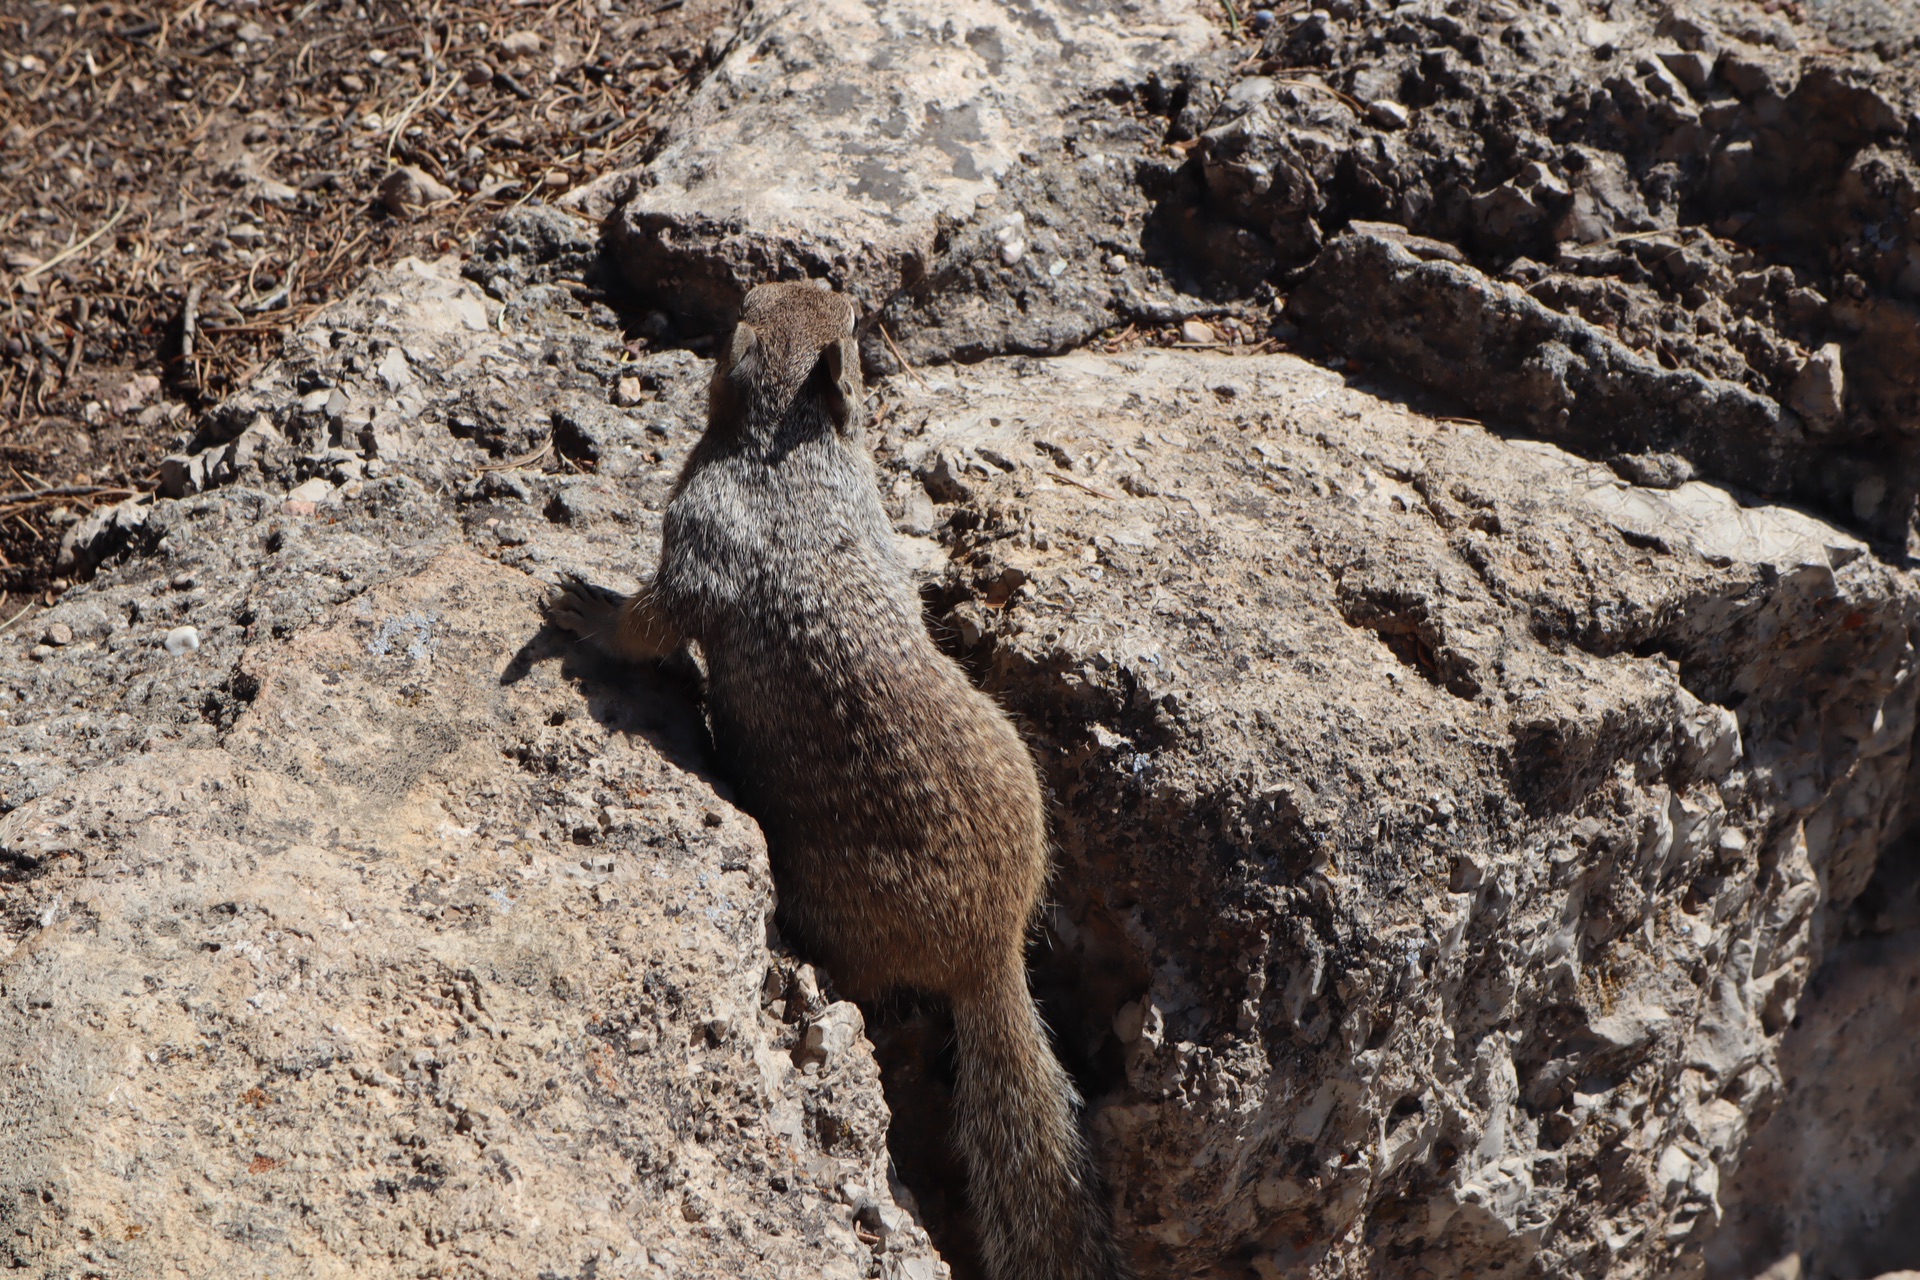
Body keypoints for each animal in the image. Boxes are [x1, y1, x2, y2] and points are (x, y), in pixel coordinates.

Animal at [549, 282, 1121, 1280]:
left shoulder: (698, 531)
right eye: (840, 318)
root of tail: (993, 947)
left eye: (746, 310)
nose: (850, 297)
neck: (798, 443)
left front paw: (588, 611)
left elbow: (658, 617)